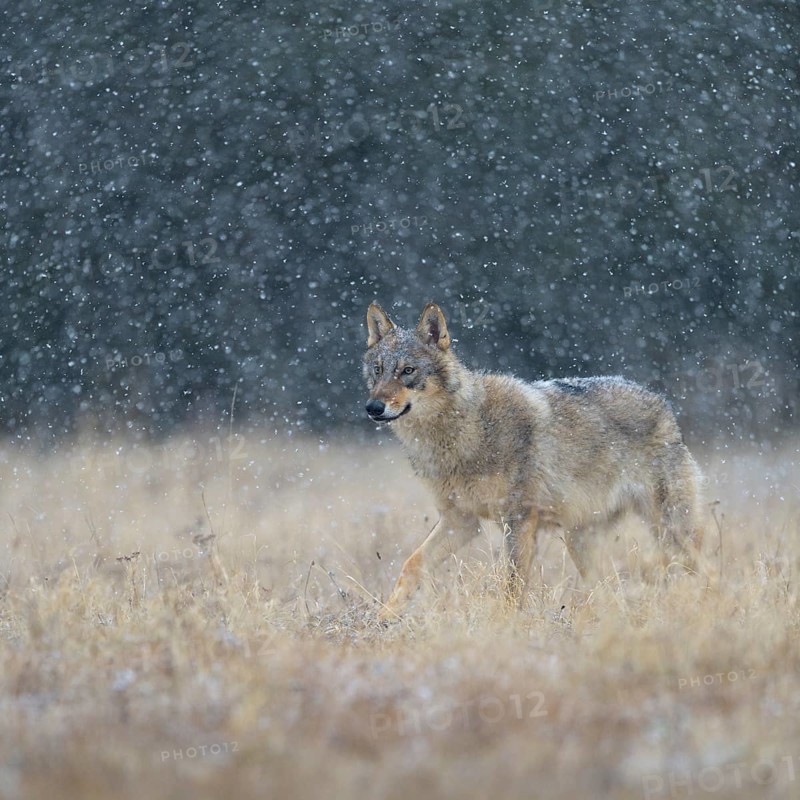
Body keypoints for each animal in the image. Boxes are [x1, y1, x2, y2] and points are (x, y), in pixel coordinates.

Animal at [364, 302, 704, 619]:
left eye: (408, 371)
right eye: (378, 370)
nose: (372, 407)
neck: (464, 431)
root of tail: (662, 402)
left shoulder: (519, 519)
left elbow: (512, 585)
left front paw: (505, 626)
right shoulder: (459, 520)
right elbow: (411, 565)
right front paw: (383, 618)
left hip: (669, 529)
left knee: (706, 570)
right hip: (579, 541)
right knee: (608, 590)